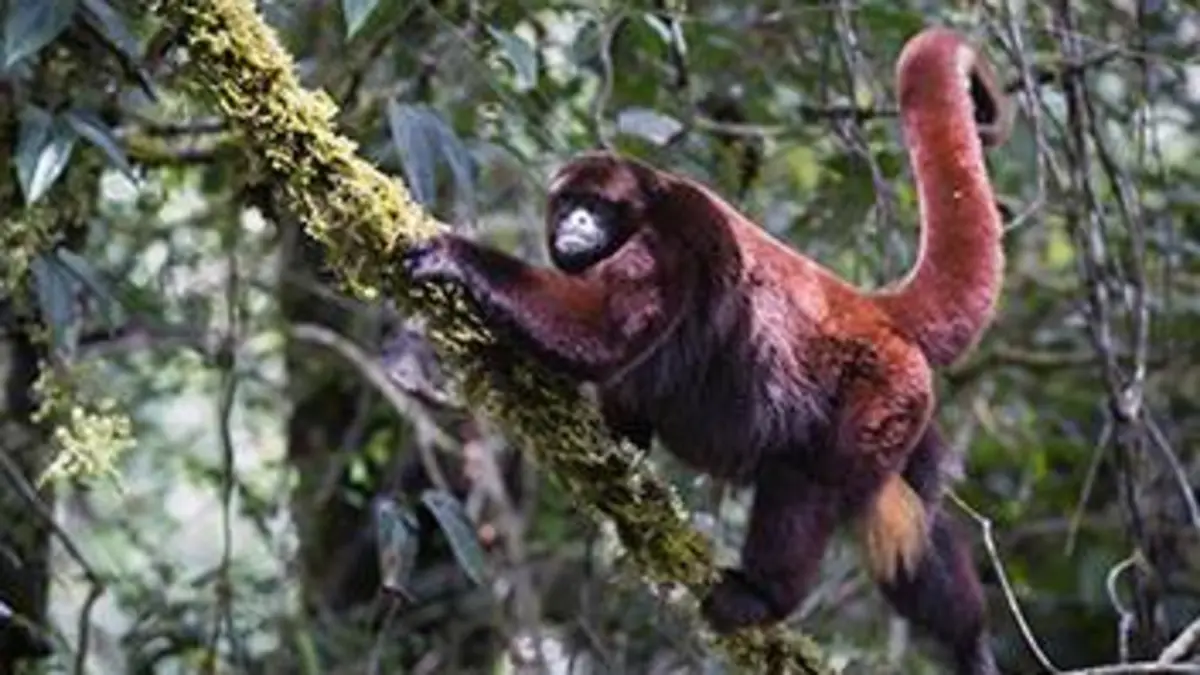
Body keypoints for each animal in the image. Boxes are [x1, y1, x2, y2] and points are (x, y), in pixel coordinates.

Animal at [401, 27, 1011, 674]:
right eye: (566, 203)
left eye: (598, 206)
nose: (577, 223)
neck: (645, 205)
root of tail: (875, 310)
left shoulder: (671, 242)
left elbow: (603, 334)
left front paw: (457, 257)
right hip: (908, 418)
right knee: (908, 522)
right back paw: (969, 640)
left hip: (880, 392)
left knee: (807, 479)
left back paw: (762, 596)